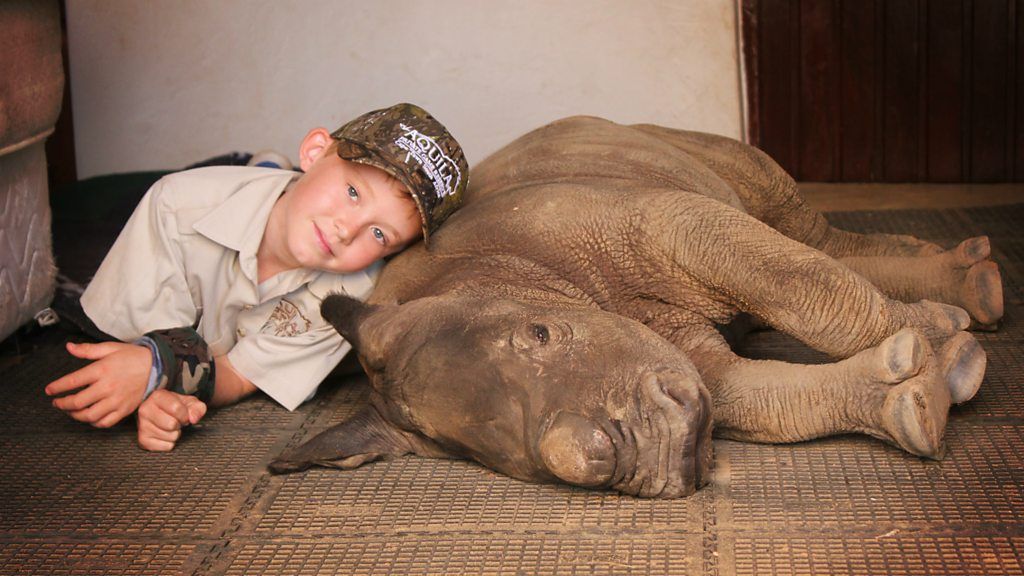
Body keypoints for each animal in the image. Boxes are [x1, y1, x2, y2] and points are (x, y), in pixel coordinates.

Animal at [269, 116, 1003, 498]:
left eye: (543, 333)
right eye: (511, 462)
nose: (617, 451)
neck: (492, 276)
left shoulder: (657, 223)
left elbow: (801, 287)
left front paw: (947, 358)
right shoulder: (681, 359)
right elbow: (751, 396)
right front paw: (916, 403)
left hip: (655, 143)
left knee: (788, 222)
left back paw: (968, 301)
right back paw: (965, 299)